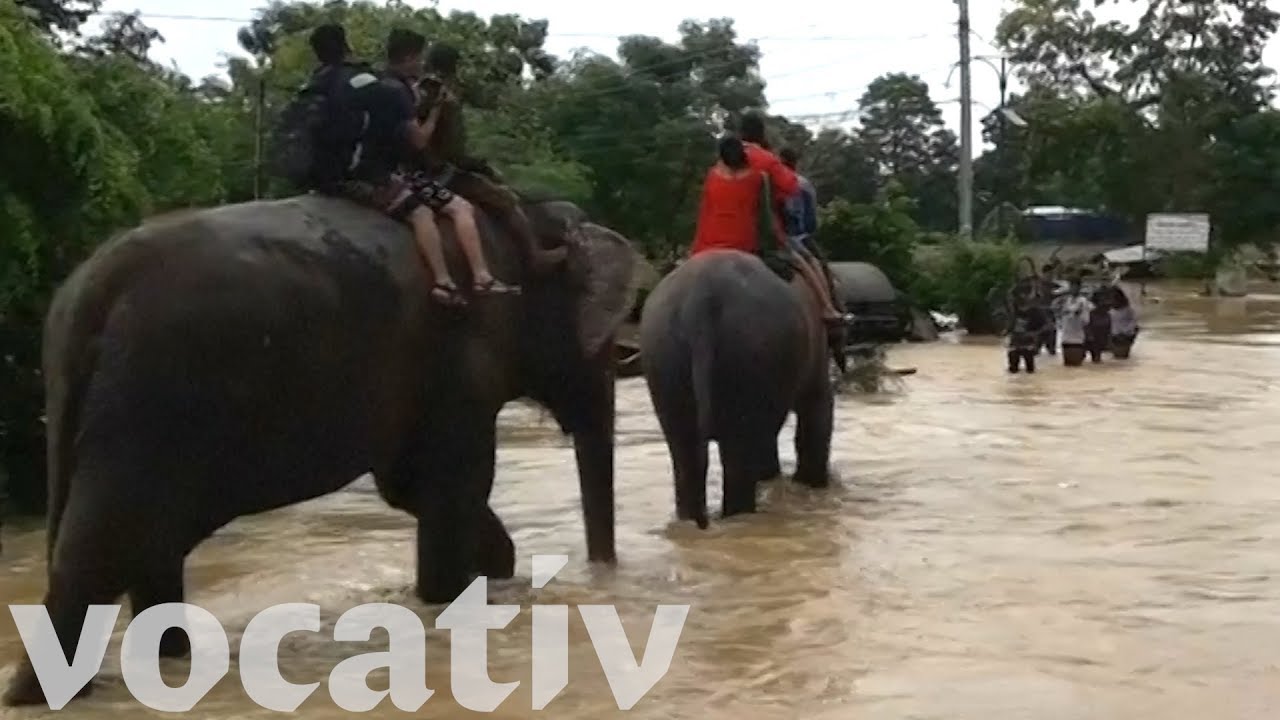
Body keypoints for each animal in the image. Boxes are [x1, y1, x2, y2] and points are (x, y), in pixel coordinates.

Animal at [3, 192, 634, 707]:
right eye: (601, 343)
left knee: (140, 546)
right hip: (151, 402)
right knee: (102, 550)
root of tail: (91, 297)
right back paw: (46, 694)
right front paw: (455, 595)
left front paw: (496, 570)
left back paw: (162, 665)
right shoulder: (464, 352)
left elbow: (412, 487)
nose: (603, 574)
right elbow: (451, 486)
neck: (522, 219)